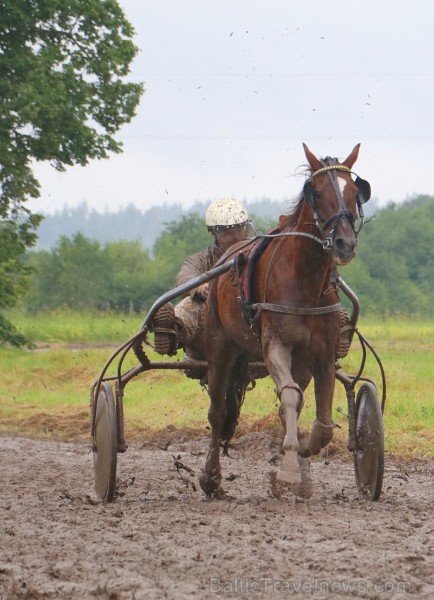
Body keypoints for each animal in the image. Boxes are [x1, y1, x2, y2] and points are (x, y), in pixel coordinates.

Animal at [199, 142, 370, 496]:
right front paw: (290, 468)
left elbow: (322, 422)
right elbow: (289, 397)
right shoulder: (275, 346)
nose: (345, 243)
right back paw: (211, 477)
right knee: (218, 410)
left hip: (299, 362)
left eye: (354, 192)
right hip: (219, 345)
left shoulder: (322, 355)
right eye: (317, 191)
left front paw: (301, 456)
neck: (305, 281)